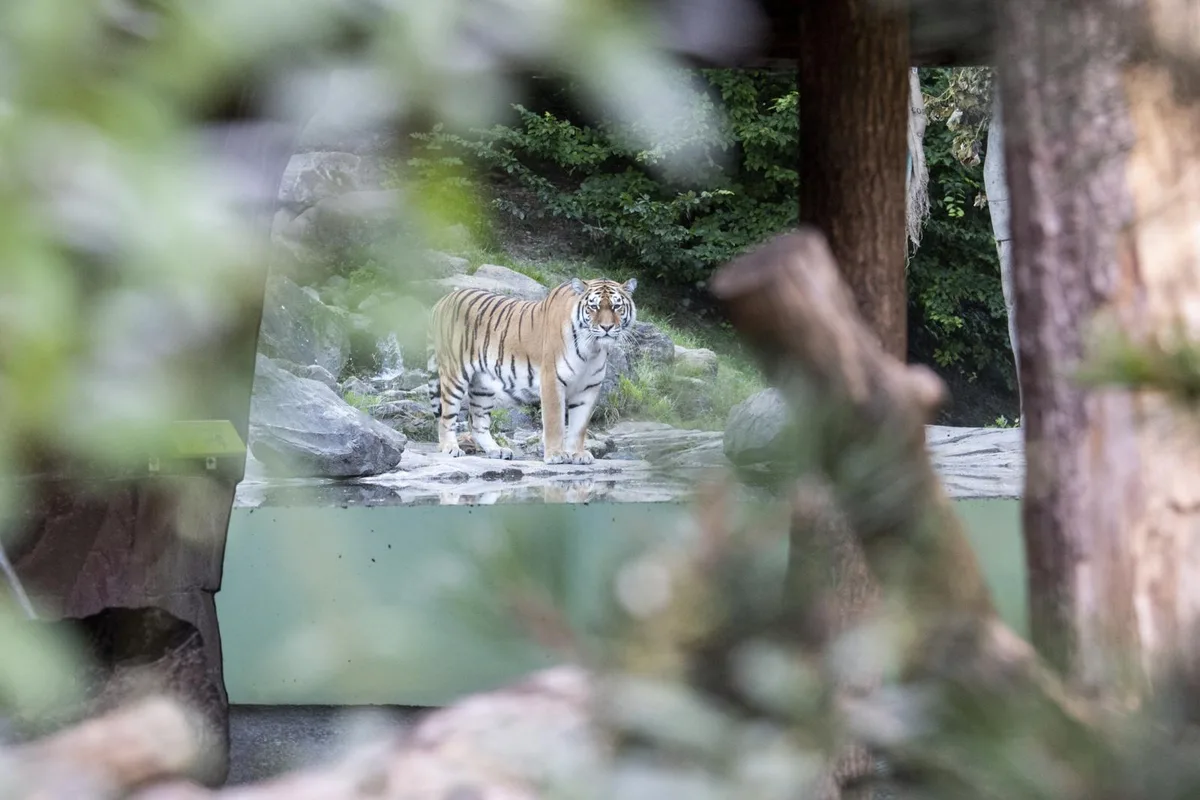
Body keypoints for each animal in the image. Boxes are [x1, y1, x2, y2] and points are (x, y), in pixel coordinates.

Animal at [426, 276, 638, 465]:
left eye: (616, 307)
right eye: (593, 307)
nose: (606, 327)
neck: (592, 349)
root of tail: (441, 301)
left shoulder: (588, 388)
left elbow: (579, 426)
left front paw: (577, 455)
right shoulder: (552, 380)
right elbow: (555, 423)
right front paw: (555, 455)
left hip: (482, 385)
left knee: (476, 422)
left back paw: (497, 451)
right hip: (454, 375)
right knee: (446, 417)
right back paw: (450, 448)